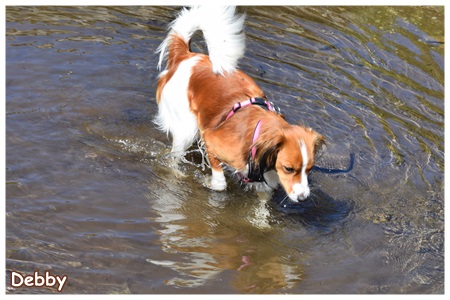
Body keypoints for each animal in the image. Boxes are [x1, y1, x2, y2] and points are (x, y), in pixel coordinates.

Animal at [155, 5, 324, 202]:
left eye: (309, 169)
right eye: (289, 169)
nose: (303, 198)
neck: (257, 134)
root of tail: (186, 57)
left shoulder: (265, 180)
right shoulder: (211, 142)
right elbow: (220, 184)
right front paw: (208, 182)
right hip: (186, 130)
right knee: (173, 158)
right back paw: (177, 174)